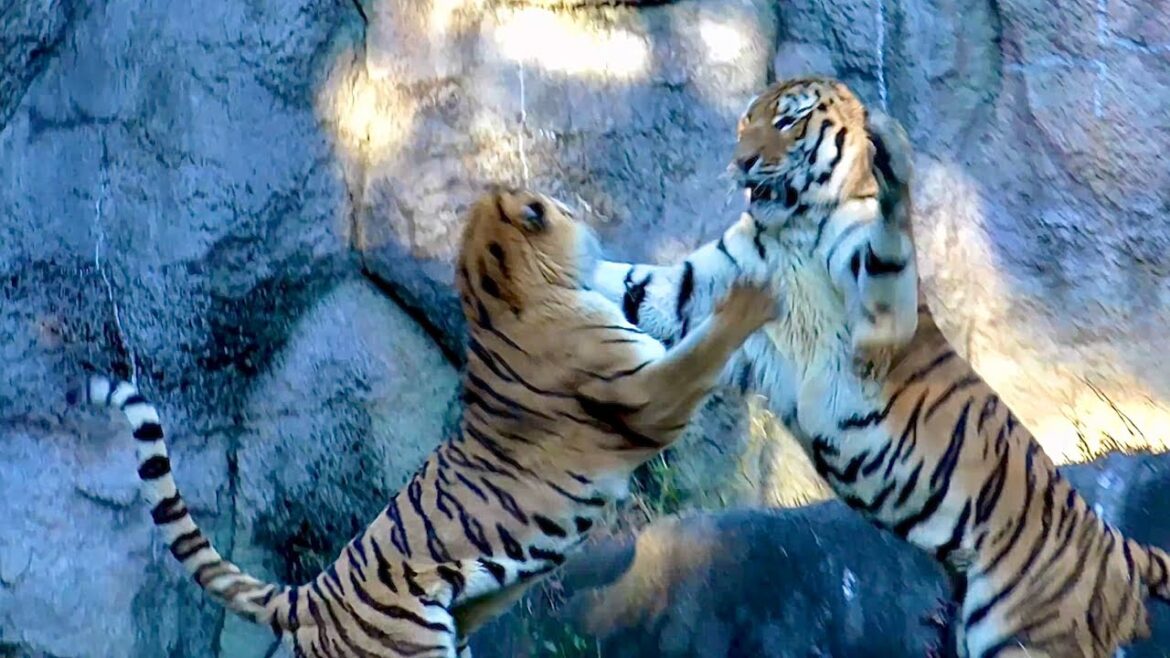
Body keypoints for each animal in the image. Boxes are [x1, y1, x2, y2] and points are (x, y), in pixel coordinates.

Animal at [69, 185, 778, 658]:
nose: (580, 203)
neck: (498, 290)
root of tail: (310, 594)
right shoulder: (645, 392)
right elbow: (703, 353)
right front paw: (755, 297)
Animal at [590, 76, 1170, 658]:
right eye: (744, 124)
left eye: (786, 122)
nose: (742, 162)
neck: (792, 229)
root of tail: (1118, 547)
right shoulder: (695, 294)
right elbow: (625, 287)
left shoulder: (883, 324)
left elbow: (891, 239)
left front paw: (892, 157)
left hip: (1028, 636)